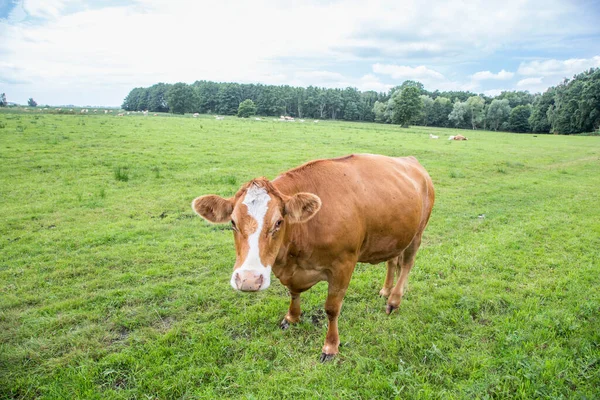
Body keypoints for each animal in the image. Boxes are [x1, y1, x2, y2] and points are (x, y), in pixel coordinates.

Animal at [195, 153, 434, 360]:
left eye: (278, 222)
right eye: (233, 222)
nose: (249, 280)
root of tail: (411, 160)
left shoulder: (344, 265)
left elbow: (331, 308)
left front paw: (331, 346)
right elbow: (293, 293)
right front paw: (291, 318)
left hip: (417, 233)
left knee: (407, 264)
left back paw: (393, 301)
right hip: (394, 235)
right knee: (393, 260)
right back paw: (385, 290)